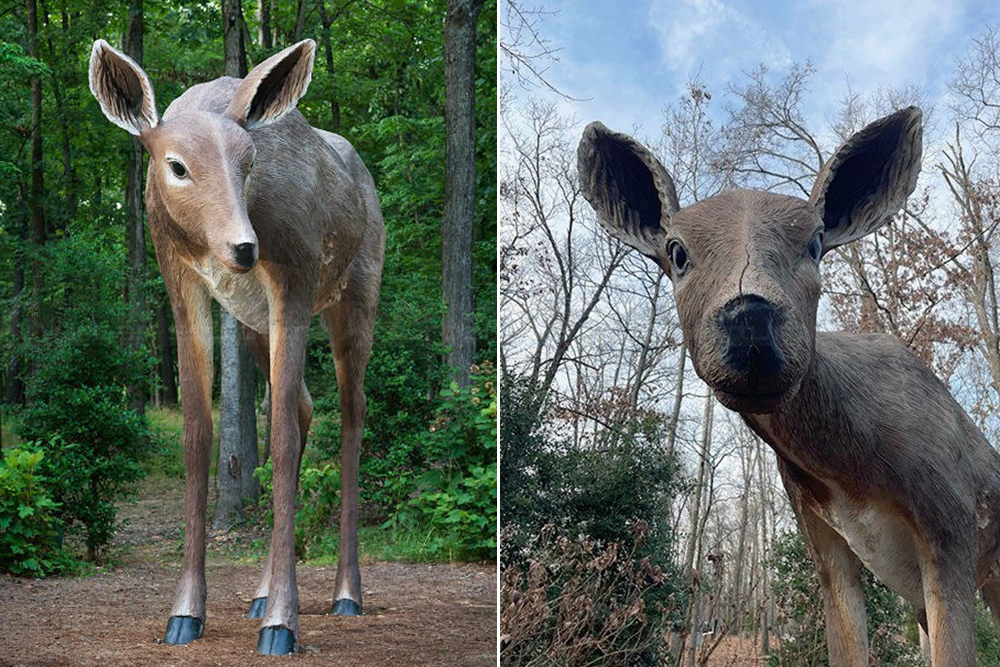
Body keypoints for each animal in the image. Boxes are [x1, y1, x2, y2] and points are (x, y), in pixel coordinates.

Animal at [89, 38, 384, 655]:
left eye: (249, 164)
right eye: (177, 165)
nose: (243, 248)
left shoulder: (296, 275)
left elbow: (280, 435)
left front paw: (283, 623)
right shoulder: (179, 275)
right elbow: (200, 432)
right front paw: (185, 613)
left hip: (356, 291)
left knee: (351, 411)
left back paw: (346, 594)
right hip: (253, 324)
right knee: (305, 406)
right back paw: (259, 594)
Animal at [578, 107, 1000, 665]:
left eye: (816, 244)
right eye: (677, 252)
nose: (750, 321)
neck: (855, 468)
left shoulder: (952, 523)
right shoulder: (821, 532)